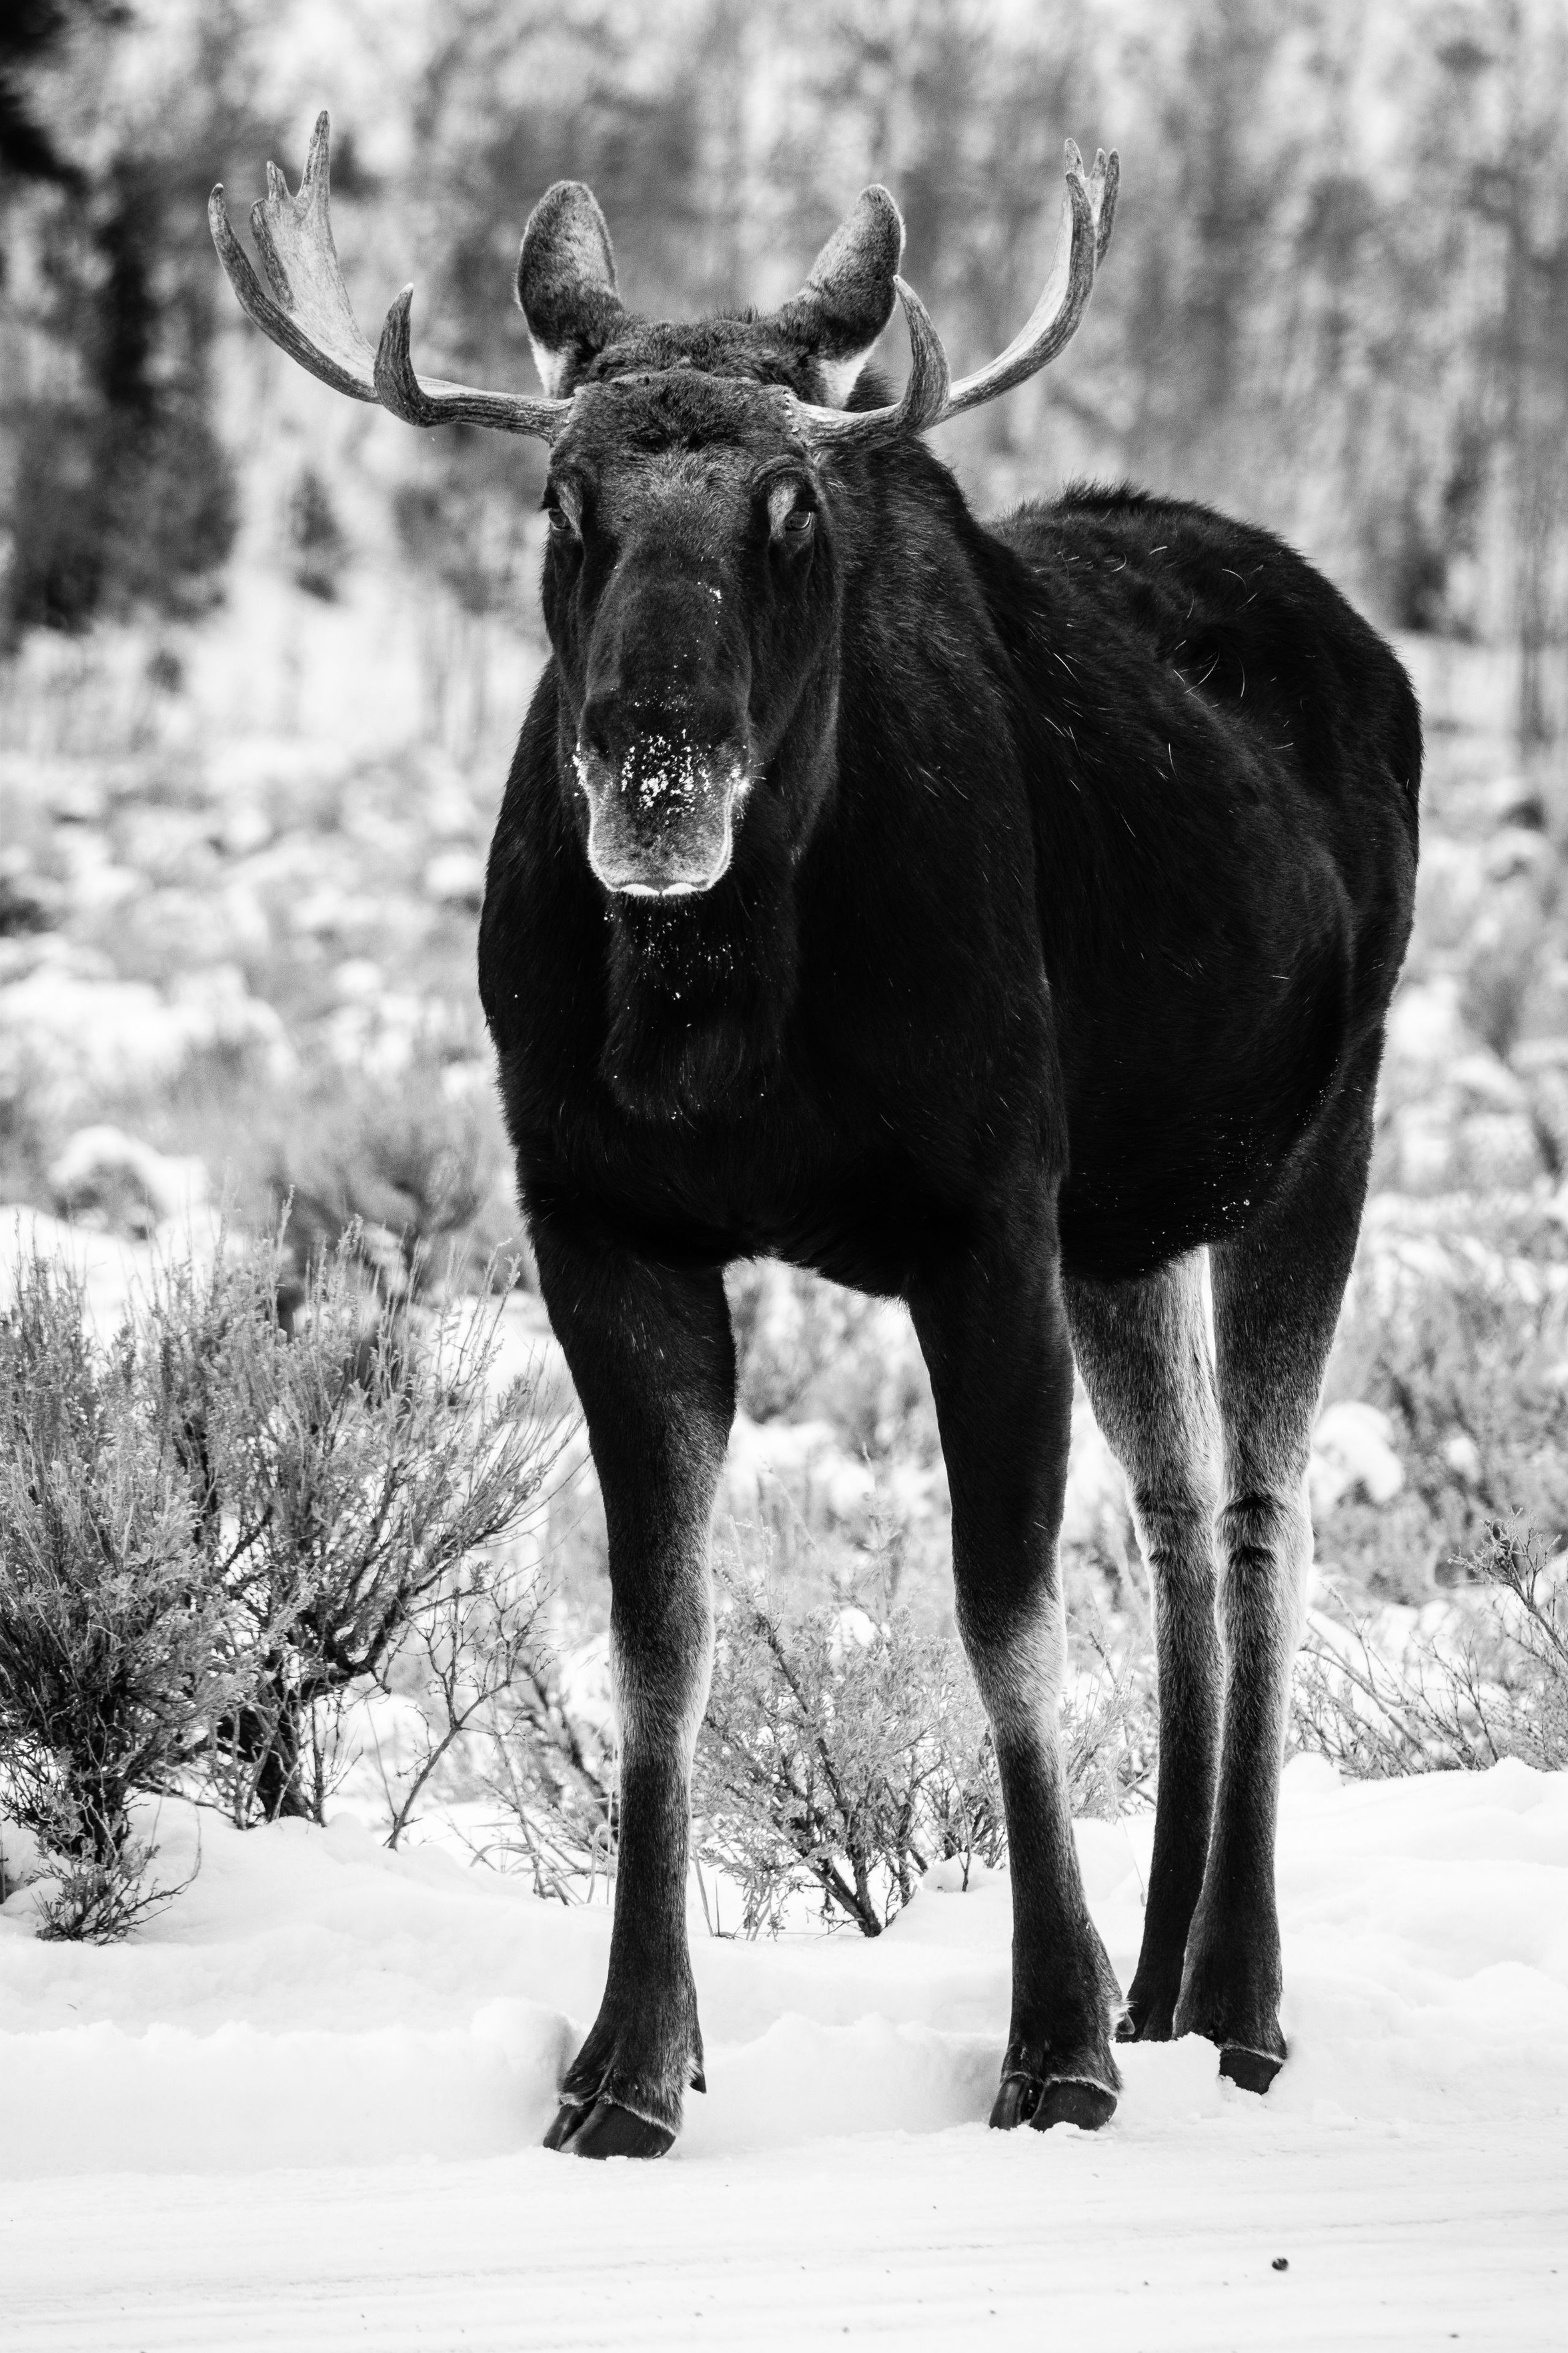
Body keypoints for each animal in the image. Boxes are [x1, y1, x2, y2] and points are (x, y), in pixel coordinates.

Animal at [211, 119, 1419, 2155]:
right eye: (563, 501)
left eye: (789, 506)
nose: (654, 765)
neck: (718, 1016)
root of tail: (1373, 650)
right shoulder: (600, 1218)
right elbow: (656, 1635)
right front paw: (627, 2059)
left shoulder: (978, 1214)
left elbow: (1001, 1615)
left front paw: (1051, 2046)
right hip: (1124, 1220)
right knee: (1176, 1512)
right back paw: (1166, 1977)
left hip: (1314, 1133)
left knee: (1262, 1512)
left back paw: (1236, 1995)